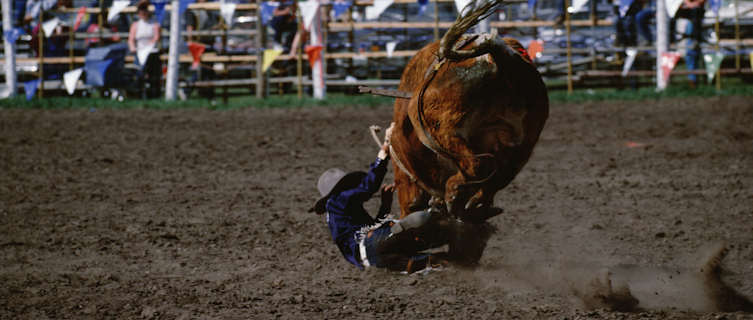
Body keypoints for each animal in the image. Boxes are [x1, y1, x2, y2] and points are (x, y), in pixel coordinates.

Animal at [388, 0, 548, 224]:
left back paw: (454, 194)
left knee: (477, 165)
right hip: (524, 141)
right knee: (499, 175)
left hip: (442, 128)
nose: (405, 211)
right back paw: (475, 205)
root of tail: (497, 58)